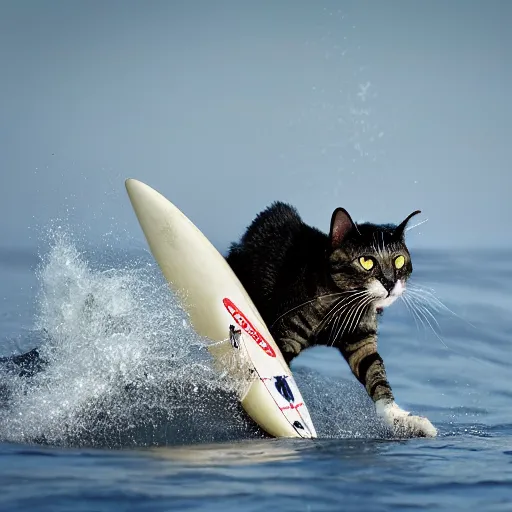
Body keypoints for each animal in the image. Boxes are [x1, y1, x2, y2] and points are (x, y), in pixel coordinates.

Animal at [227, 202, 436, 438]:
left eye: (399, 260)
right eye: (366, 261)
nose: (390, 283)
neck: (343, 306)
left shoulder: (362, 342)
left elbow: (378, 378)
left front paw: (405, 421)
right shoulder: (284, 337)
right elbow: (273, 377)